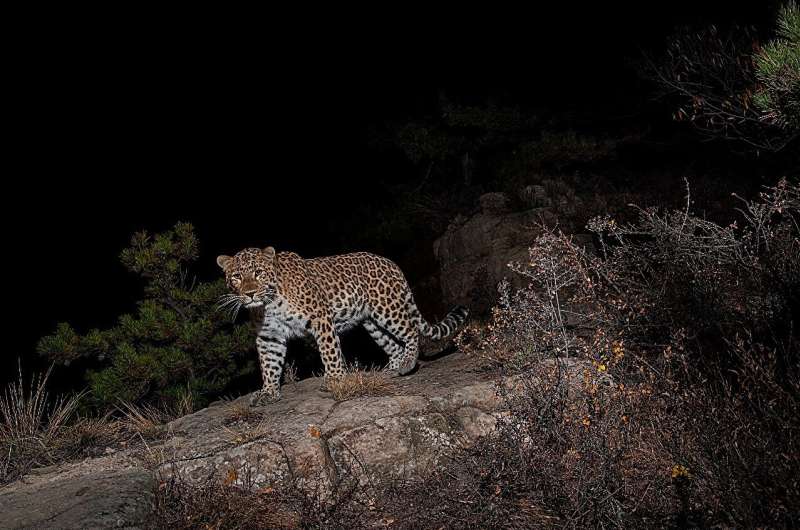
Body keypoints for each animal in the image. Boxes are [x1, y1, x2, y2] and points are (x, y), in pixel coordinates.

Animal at [216, 247, 468, 405]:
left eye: (258, 273)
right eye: (236, 277)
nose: (250, 294)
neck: (268, 304)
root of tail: (390, 262)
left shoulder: (320, 318)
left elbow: (330, 352)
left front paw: (336, 379)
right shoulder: (269, 335)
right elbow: (269, 366)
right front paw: (268, 392)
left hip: (387, 308)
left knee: (410, 331)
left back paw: (408, 363)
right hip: (371, 322)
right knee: (393, 344)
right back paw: (392, 369)